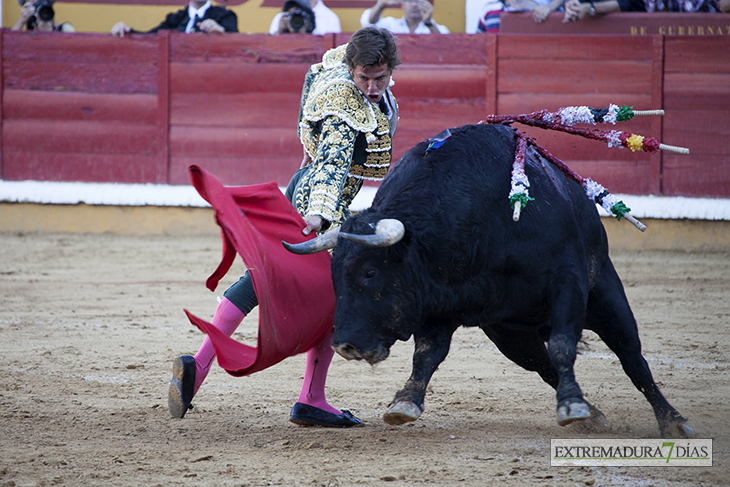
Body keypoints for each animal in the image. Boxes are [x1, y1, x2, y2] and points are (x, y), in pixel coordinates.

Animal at [282, 123, 692, 438]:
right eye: (334, 276)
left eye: (370, 272)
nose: (344, 344)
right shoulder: (440, 301)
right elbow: (427, 354)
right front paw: (405, 402)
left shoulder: (567, 281)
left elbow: (564, 344)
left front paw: (573, 405)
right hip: (512, 334)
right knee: (543, 365)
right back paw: (592, 415)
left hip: (606, 294)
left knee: (631, 357)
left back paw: (672, 421)